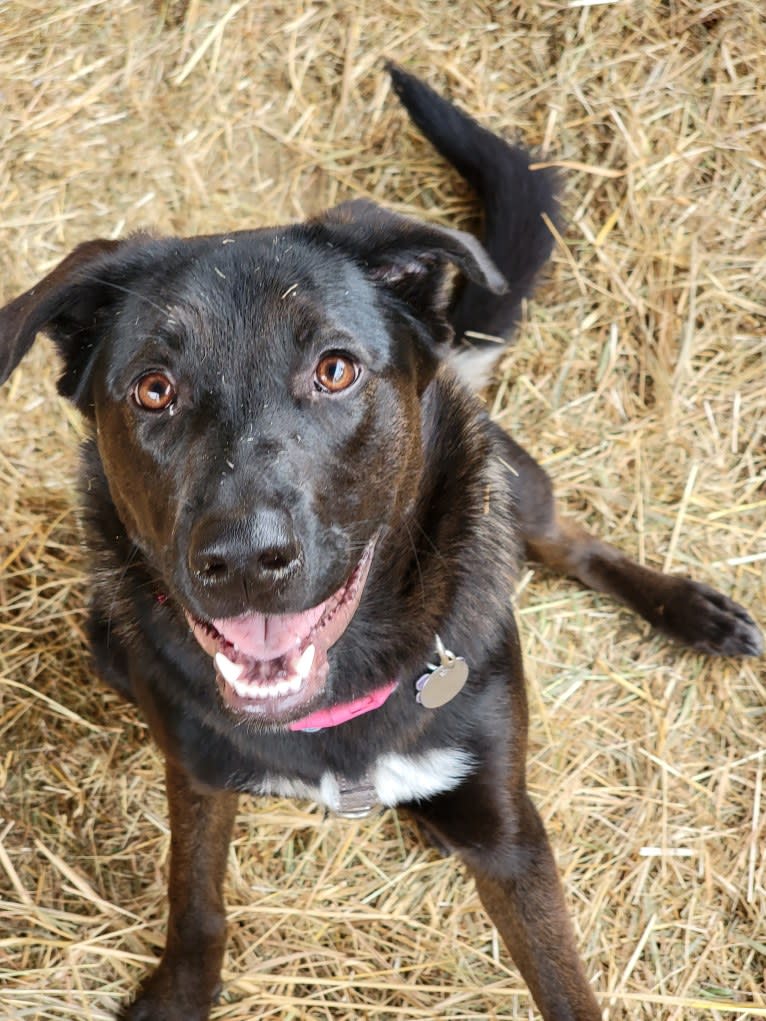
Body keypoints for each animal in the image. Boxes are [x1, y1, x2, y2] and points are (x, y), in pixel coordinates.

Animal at [3, 65, 763, 1021]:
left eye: (334, 369)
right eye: (152, 389)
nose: (244, 561)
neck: (336, 696)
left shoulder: (513, 839)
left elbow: (565, 981)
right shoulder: (200, 775)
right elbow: (196, 902)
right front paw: (178, 991)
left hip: (514, 483)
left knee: (569, 541)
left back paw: (692, 611)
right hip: (109, 638)